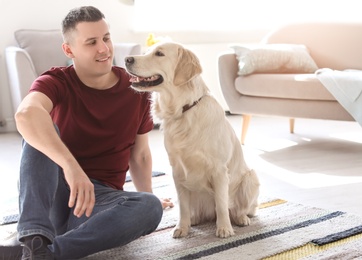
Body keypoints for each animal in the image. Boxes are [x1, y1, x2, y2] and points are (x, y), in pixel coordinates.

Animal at [125, 42, 260, 238]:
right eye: (147, 51)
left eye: (159, 54)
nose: (127, 59)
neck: (183, 110)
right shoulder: (177, 171)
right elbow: (183, 206)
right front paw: (182, 227)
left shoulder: (219, 170)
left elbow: (221, 203)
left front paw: (224, 228)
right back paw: (194, 220)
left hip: (250, 178)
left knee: (240, 209)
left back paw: (240, 218)